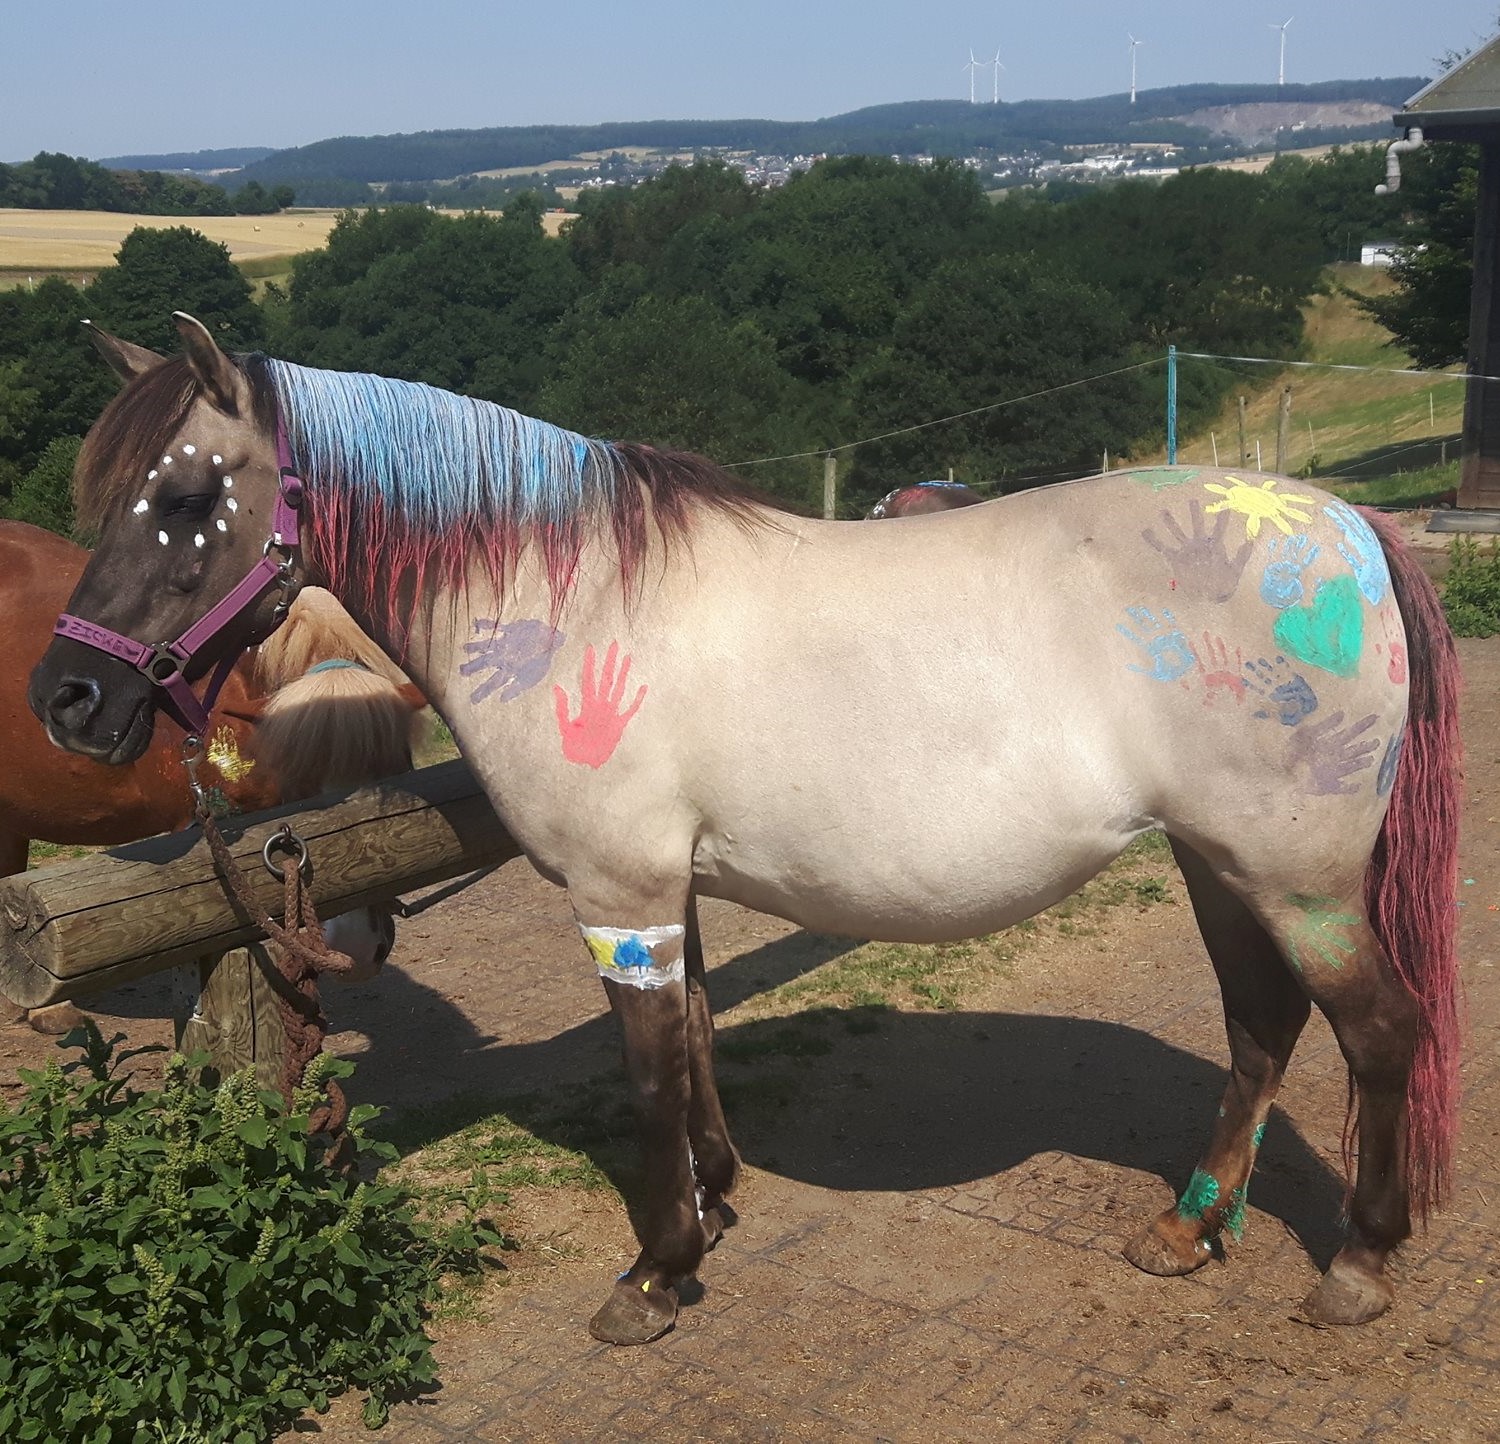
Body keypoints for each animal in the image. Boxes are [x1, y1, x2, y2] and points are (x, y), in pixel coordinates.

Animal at [32, 316, 1464, 1343]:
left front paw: (657, 1271)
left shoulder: (617, 891)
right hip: (1221, 864)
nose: (70, 698)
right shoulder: (670, 888)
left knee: (1377, 1030)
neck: (572, 602)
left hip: (1296, 875)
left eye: (186, 495)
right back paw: (1191, 1226)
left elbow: (650, 1071)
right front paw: (715, 1201)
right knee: (1262, 1028)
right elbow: (699, 1038)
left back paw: (1358, 1262)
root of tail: (1345, 523)